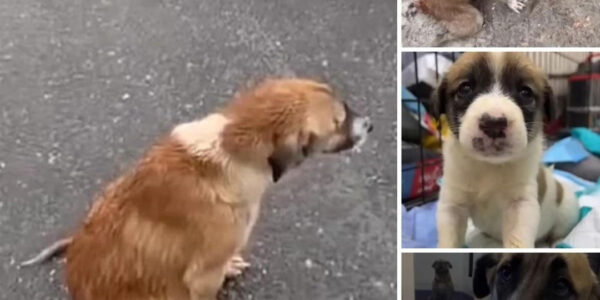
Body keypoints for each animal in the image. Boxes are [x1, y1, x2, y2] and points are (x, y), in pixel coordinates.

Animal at [434, 52, 580, 248]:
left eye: (526, 92)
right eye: (465, 88)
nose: (494, 123)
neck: (489, 166)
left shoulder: (520, 205)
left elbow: (517, 242)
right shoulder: (452, 205)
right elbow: (449, 242)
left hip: (566, 211)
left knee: (559, 232)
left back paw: (557, 242)